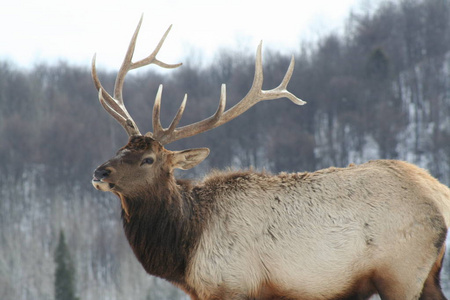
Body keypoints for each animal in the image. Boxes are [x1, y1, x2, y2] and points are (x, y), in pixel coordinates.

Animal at [91, 16, 450, 300]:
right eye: (122, 148)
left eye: (149, 159)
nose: (99, 172)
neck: (185, 248)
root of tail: (438, 193)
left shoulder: (231, 284)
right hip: (428, 275)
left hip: (400, 271)